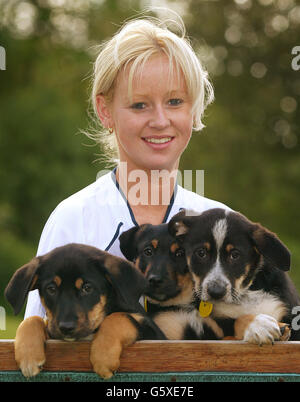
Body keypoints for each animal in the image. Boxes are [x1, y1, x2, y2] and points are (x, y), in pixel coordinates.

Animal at [4, 243, 166, 378]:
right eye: (51, 289)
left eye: (87, 288)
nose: (66, 327)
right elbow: (31, 320)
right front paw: (28, 357)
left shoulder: (155, 335)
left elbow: (119, 317)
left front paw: (103, 357)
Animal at [169, 209, 298, 344]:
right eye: (201, 253)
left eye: (235, 255)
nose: (216, 292)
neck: (244, 293)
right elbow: (234, 322)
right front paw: (258, 324)